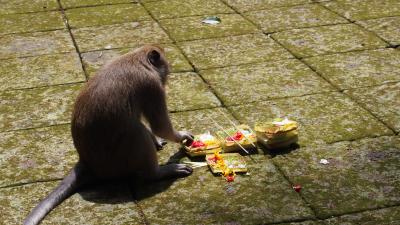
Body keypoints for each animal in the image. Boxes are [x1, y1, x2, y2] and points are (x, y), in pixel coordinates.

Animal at [24, 44, 195, 224]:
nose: (166, 76)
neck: (138, 59)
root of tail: (86, 162)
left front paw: (158, 140)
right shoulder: (151, 86)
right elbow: (160, 126)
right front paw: (182, 136)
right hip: (116, 162)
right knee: (136, 131)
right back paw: (158, 173)